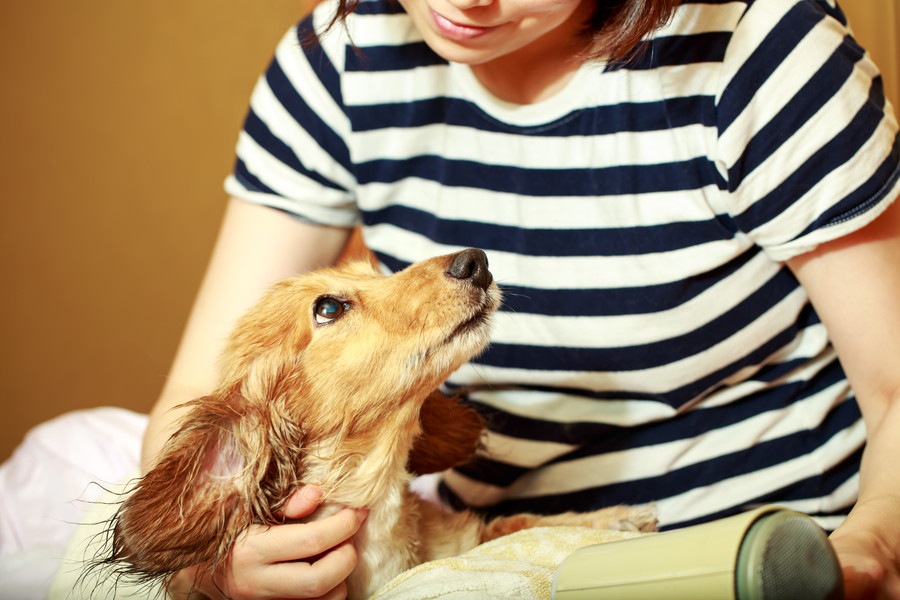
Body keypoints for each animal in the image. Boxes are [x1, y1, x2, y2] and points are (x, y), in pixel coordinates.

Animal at [98, 248, 656, 600]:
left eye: (374, 271)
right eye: (328, 307)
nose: (476, 262)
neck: (376, 493)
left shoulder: (469, 537)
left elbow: (519, 523)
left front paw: (610, 520)